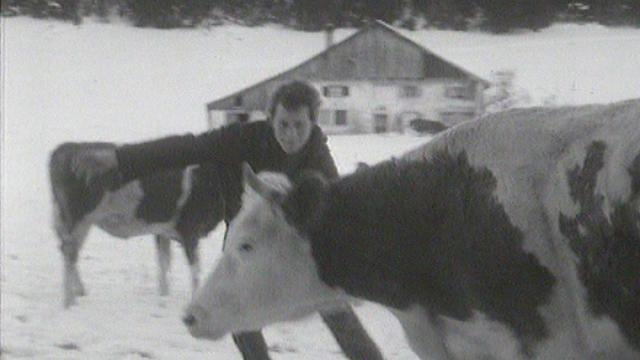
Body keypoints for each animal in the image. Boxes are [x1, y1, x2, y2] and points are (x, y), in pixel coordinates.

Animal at [48, 142, 222, 308]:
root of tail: (64, 149)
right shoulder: (190, 231)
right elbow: (195, 270)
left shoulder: (162, 231)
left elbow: (164, 263)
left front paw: (163, 296)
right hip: (77, 219)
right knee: (69, 253)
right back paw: (69, 303)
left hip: (78, 222)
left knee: (69, 252)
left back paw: (79, 292)